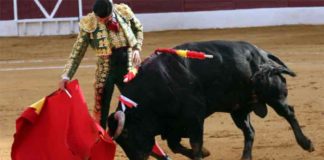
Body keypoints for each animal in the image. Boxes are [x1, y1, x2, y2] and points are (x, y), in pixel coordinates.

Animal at [108, 40, 314, 159]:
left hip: (274, 95)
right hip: (239, 110)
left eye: (126, 135)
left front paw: (201, 153)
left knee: (289, 113)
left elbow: (195, 144)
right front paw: (205, 153)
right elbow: (175, 146)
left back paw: (306, 143)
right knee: (249, 131)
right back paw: (245, 157)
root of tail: (263, 53)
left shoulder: (194, 118)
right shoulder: (174, 125)